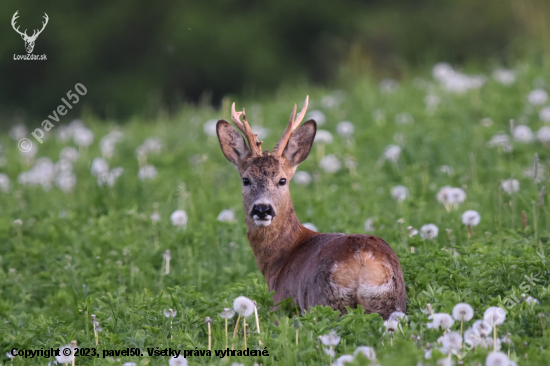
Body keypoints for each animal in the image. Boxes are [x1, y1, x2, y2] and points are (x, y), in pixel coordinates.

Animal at [218, 96, 408, 318]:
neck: (279, 261)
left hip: (323, 301)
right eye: (246, 180)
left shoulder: (281, 304)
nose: (262, 209)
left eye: (282, 180)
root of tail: (363, 258)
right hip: (391, 303)